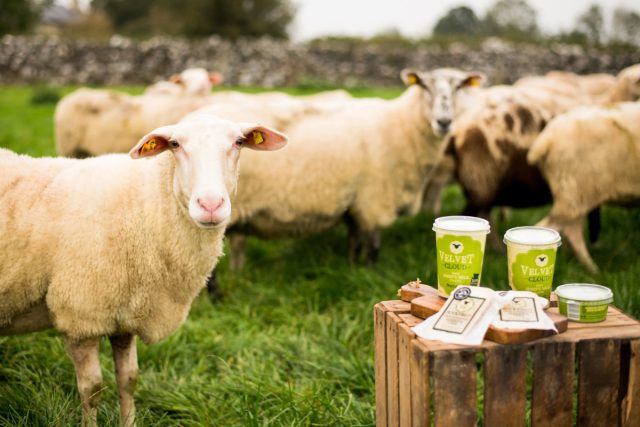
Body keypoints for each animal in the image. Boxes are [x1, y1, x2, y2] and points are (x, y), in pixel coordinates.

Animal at [0, 114, 288, 427]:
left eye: (238, 142)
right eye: (175, 144)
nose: (210, 205)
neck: (140, 207)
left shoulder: (125, 314)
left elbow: (129, 380)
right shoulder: (80, 315)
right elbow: (92, 389)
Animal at [528, 102, 640, 274]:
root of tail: (547, 137)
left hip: (576, 193)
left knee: (572, 231)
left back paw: (590, 269)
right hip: (574, 191)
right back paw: (594, 271)